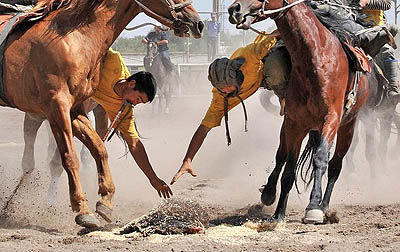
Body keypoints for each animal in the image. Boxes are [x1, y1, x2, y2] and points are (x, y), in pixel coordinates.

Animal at [0, 0, 203, 228]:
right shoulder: (56, 107)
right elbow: (69, 157)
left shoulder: (75, 110)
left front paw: (105, 201)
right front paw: (82, 209)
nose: (197, 23)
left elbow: (99, 149)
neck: (72, 39)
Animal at [228, 0, 372, 223]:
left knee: (335, 165)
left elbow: (320, 159)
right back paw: (268, 193)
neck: (315, 60)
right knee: (281, 156)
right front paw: (279, 213)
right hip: (290, 126)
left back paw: (325, 206)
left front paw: (314, 207)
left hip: (348, 126)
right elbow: (289, 168)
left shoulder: (331, 119)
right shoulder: (295, 123)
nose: (234, 9)